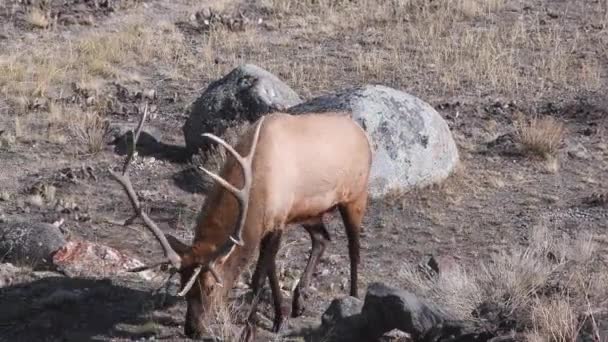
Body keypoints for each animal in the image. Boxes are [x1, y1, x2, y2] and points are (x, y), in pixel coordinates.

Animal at [111, 107, 372, 340]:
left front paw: (249, 327)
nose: (192, 330)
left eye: (210, 287)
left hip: (356, 196)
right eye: (183, 283)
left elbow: (258, 278)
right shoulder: (276, 220)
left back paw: (352, 299)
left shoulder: (277, 221)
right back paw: (300, 301)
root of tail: (363, 134)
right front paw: (280, 318)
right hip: (309, 212)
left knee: (354, 249)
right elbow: (271, 271)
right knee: (322, 238)